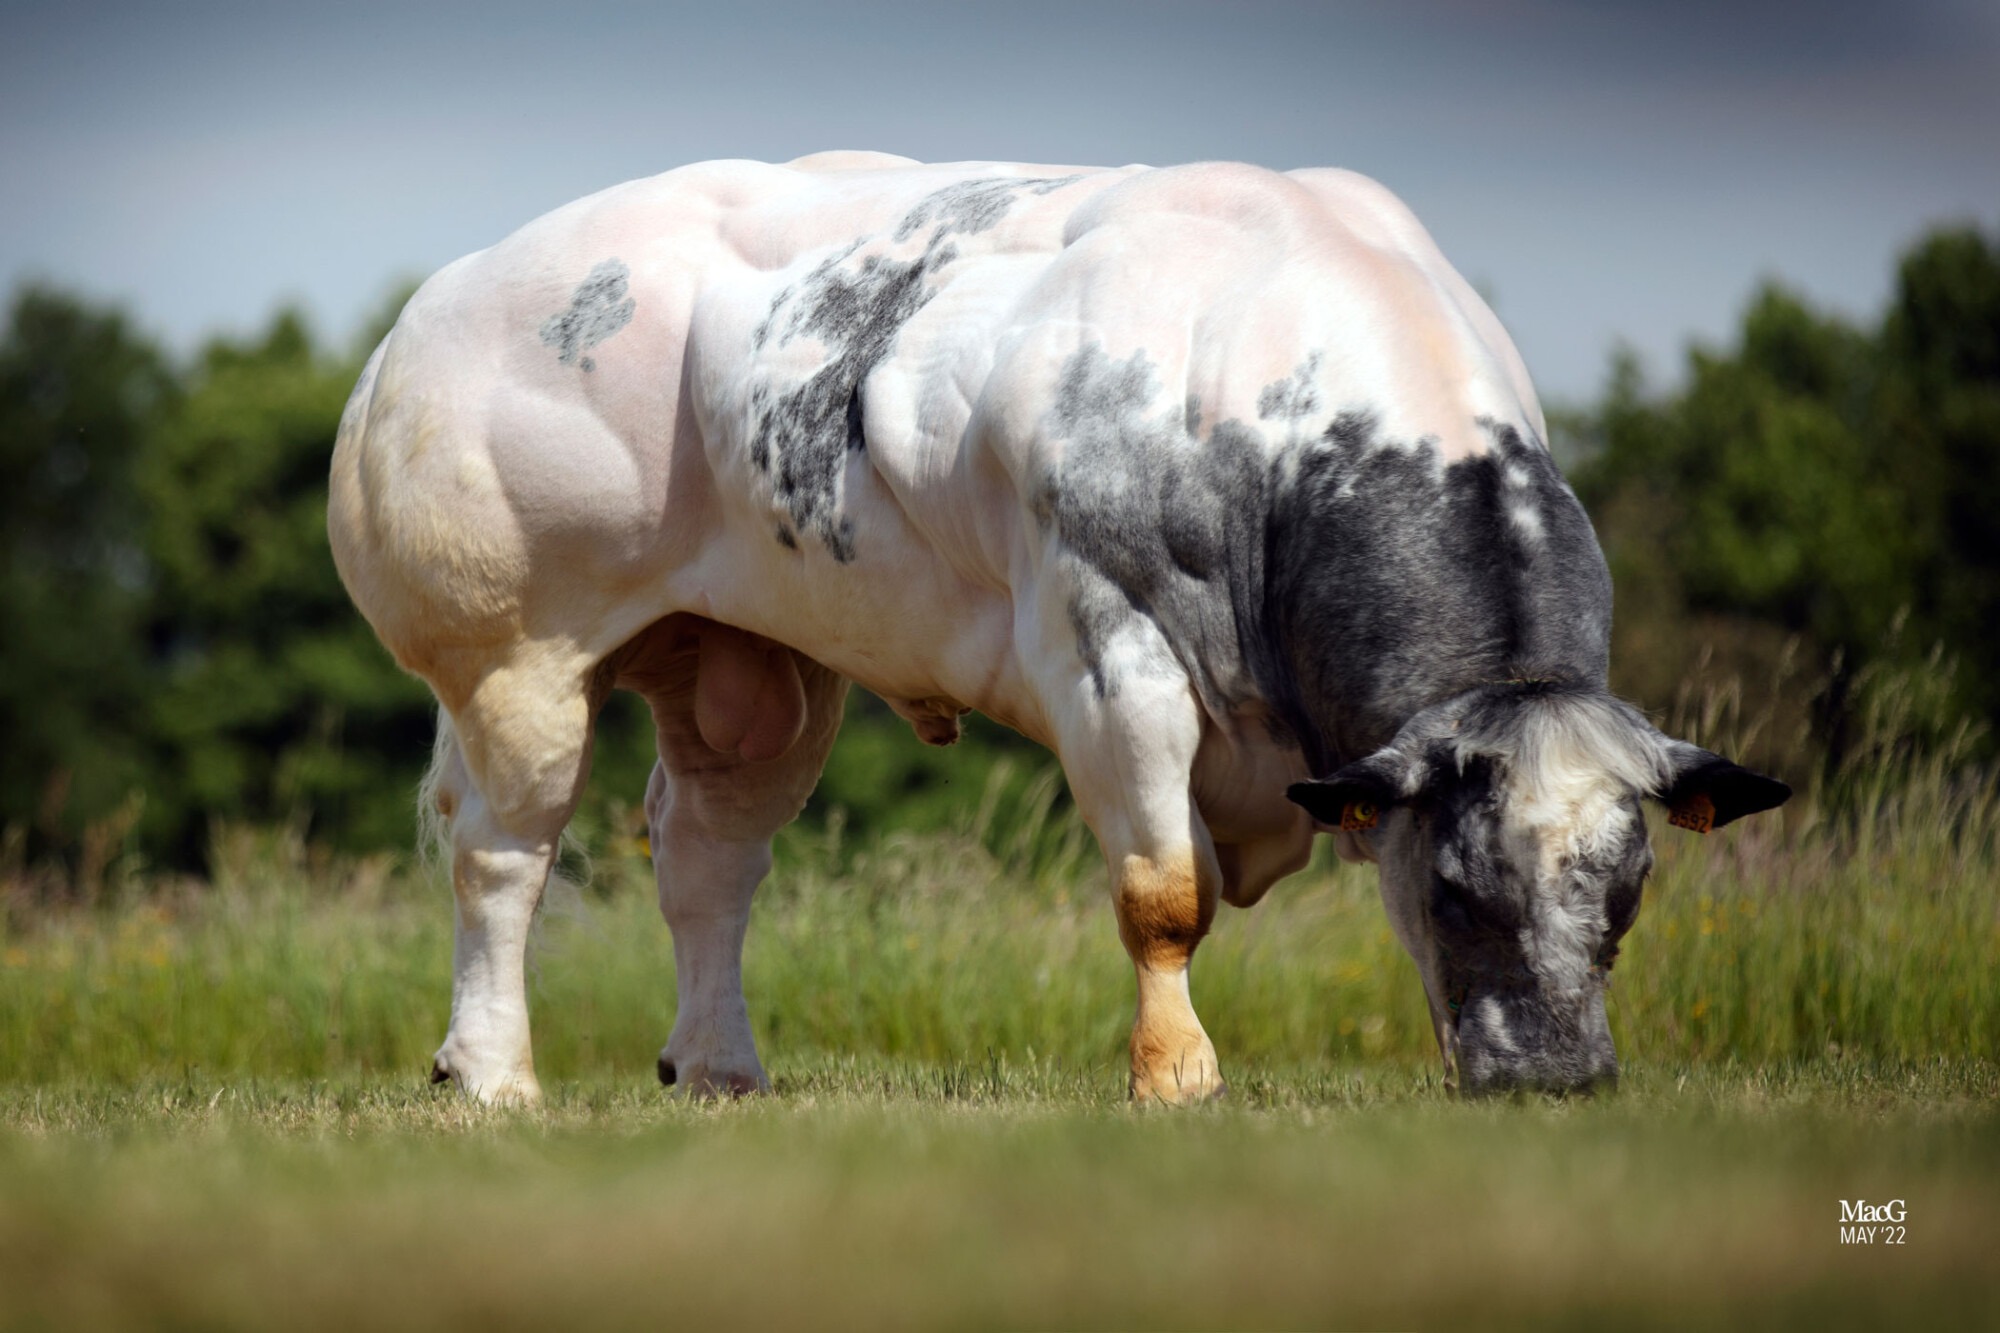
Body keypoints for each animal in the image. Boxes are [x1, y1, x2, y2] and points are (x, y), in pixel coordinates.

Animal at [328, 152, 1789, 1105]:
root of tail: (439, 300)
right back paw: (493, 1076)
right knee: (504, 859)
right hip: (512, 657)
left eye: (1628, 894)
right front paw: (1174, 1077)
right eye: (1454, 885)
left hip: (752, 670)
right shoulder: (1108, 648)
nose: (1559, 1079)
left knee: (706, 861)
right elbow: (1162, 894)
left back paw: (722, 1068)